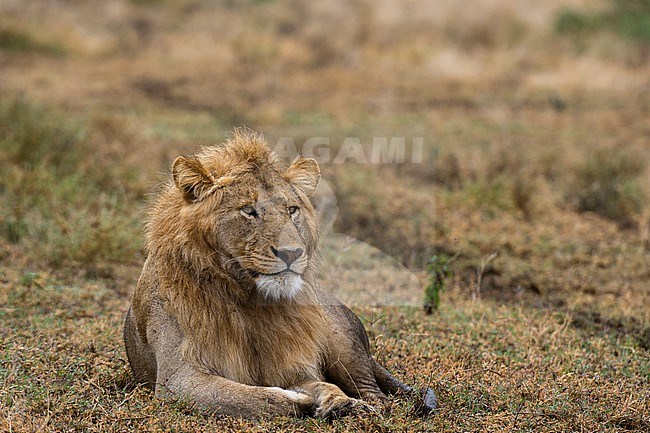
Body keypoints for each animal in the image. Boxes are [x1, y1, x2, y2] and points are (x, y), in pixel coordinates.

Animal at [123, 129, 436, 418]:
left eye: (292, 209)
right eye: (249, 210)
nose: (292, 253)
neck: (248, 299)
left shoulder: (292, 364)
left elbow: (319, 384)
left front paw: (337, 402)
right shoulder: (177, 379)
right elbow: (253, 397)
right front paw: (304, 401)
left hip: (342, 340)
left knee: (373, 391)